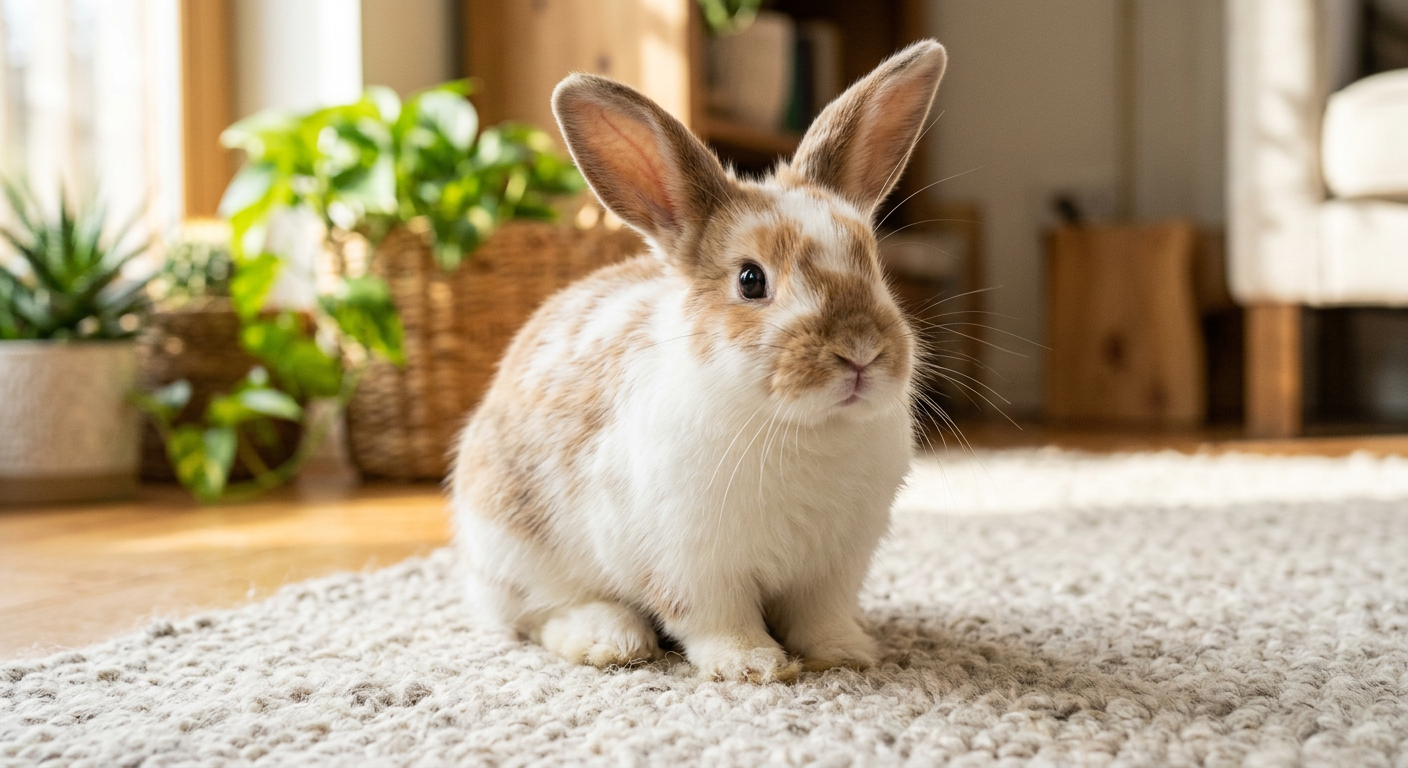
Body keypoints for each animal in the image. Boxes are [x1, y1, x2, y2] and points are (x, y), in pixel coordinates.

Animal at [451, 40, 948, 682]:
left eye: (873, 264)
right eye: (750, 280)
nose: (860, 351)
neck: (804, 429)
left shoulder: (833, 568)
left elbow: (821, 617)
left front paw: (846, 654)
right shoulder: (691, 565)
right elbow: (715, 619)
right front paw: (751, 666)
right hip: (515, 547)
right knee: (537, 614)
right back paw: (608, 640)